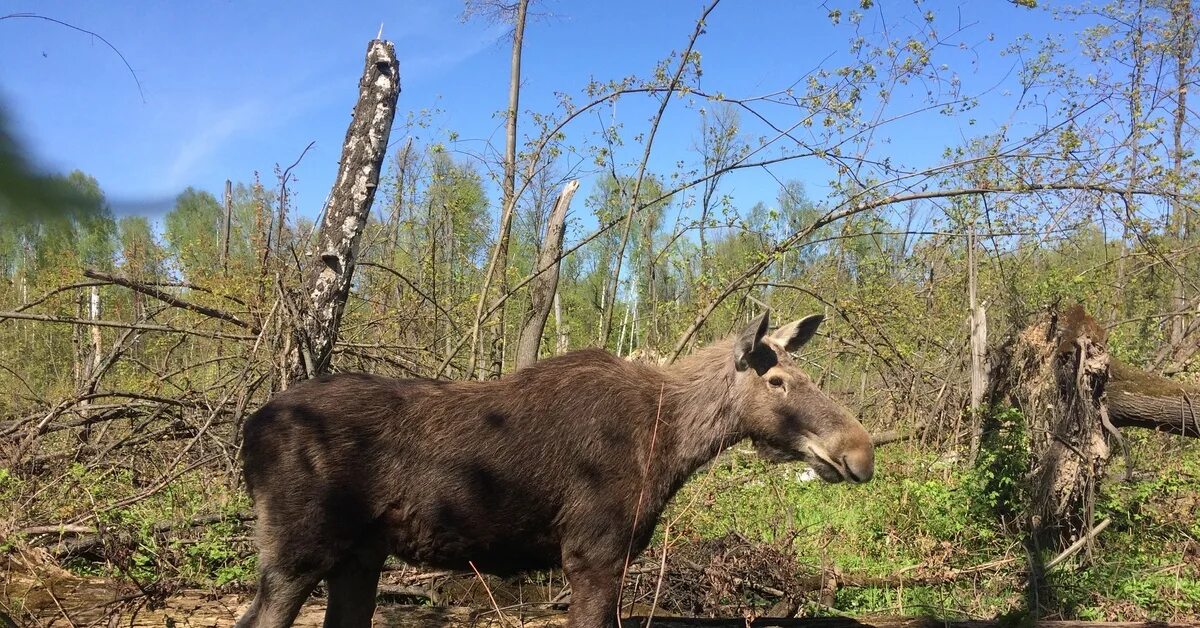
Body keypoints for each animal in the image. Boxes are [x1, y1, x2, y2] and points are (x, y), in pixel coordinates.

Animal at [234, 312, 873, 628]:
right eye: (777, 381)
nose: (860, 451)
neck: (674, 442)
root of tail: (248, 430)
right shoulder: (593, 554)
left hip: (359, 558)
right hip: (296, 553)